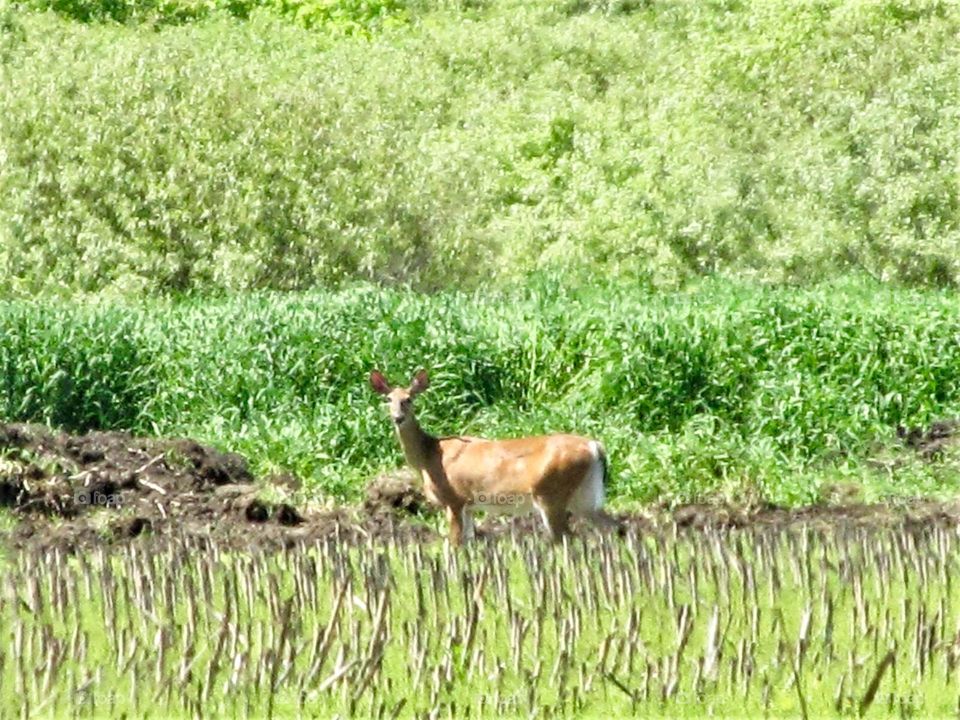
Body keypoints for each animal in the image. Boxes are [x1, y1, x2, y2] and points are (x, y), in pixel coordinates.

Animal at [369, 368, 618, 545]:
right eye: (388, 399)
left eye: (409, 399)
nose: (398, 417)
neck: (428, 456)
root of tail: (595, 446)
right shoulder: (468, 505)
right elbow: (468, 542)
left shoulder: (454, 499)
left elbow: (455, 544)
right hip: (585, 495)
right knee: (614, 528)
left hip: (550, 493)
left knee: (565, 538)